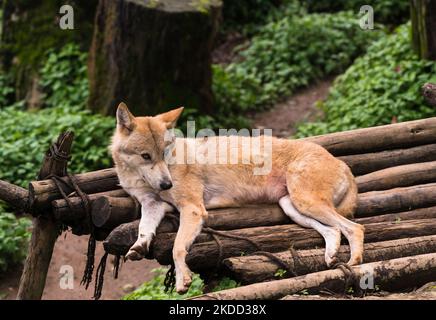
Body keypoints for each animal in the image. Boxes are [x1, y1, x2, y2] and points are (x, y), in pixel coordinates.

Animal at [110, 102, 364, 292]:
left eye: (164, 153)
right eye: (146, 156)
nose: (167, 183)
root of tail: (343, 164)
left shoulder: (192, 209)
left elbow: (177, 247)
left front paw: (183, 280)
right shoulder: (152, 204)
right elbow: (144, 229)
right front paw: (138, 247)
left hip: (305, 203)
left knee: (355, 228)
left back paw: (354, 263)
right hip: (292, 208)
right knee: (335, 231)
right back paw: (331, 257)